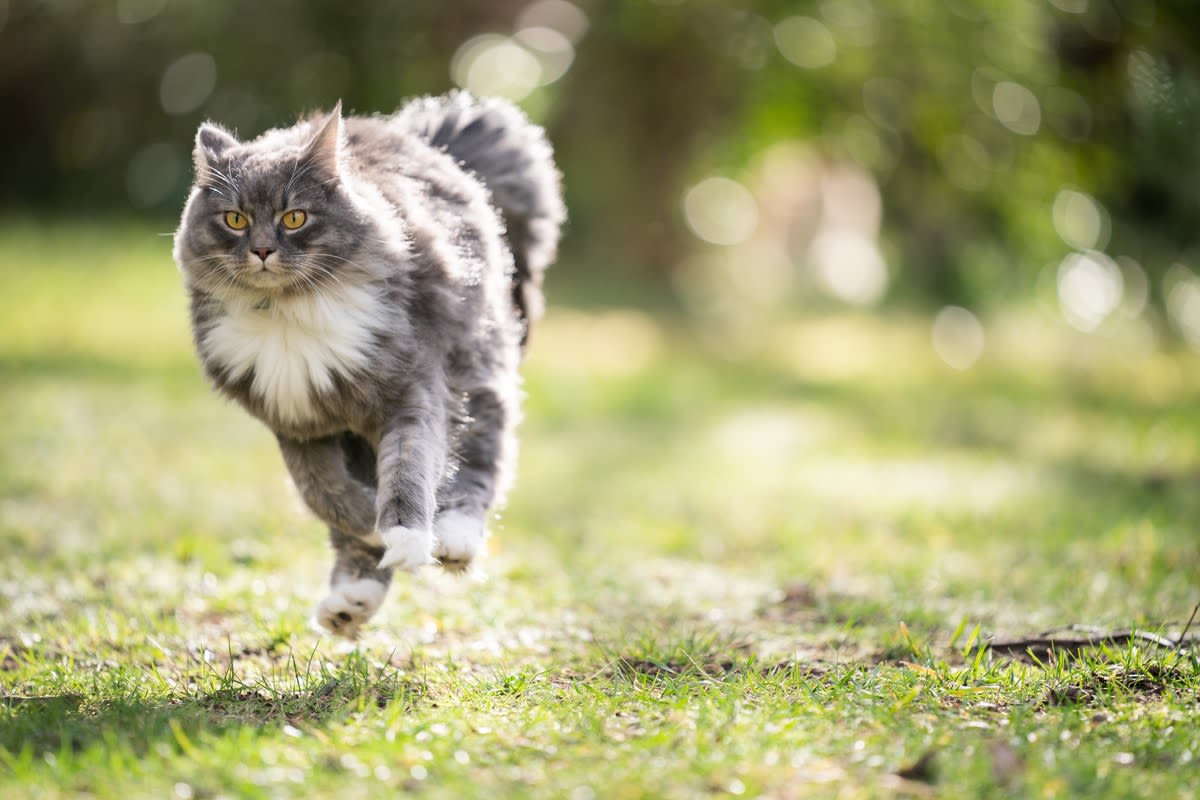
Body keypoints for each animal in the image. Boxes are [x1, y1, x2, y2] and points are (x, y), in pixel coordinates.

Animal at [175, 92, 566, 638]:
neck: (288, 313)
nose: (262, 250)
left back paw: (454, 540)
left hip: (477, 371)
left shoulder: (413, 392)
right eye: (234, 220)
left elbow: (407, 471)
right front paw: (372, 531)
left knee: (482, 458)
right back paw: (349, 603)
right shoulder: (298, 422)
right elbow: (326, 494)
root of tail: (429, 140)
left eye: (294, 218)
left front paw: (405, 535)